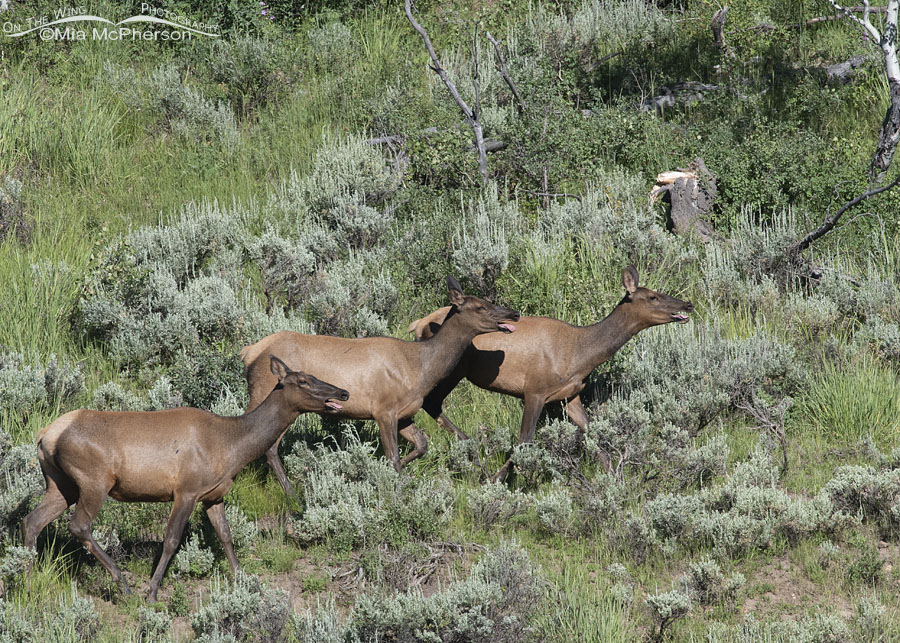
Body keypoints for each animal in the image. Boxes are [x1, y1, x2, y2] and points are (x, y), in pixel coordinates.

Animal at [23, 354, 348, 600]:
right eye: (303, 381)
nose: (342, 392)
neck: (231, 448)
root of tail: (44, 435)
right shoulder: (186, 489)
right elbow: (171, 539)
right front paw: (152, 591)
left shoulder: (213, 495)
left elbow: (226, 535)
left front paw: (243, 580)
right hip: (93, 480)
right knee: (78, 525)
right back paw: (123, 583)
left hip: (60, 483)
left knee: (32, 521)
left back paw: (26, 577)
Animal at [239, 276, 520, 494]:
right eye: (481, 307)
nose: (514, 313)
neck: (420, 369)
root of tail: (250, 353)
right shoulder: (383, 409)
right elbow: (393, 457)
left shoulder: (404, 413)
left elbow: (422, 444)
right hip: (267, 393)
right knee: (266, 443)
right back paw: (290, 493)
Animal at [412, 264, 692, 480]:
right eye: (653, 297)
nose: (687, 304)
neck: (582, 356)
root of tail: (417, 324)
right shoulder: (534, 390)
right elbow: (524, 440)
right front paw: (498, 479)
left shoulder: (570, 395)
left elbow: (594, 436)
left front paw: (614, 479)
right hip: (452, 370)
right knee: (431, 402)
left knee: (433, 404)